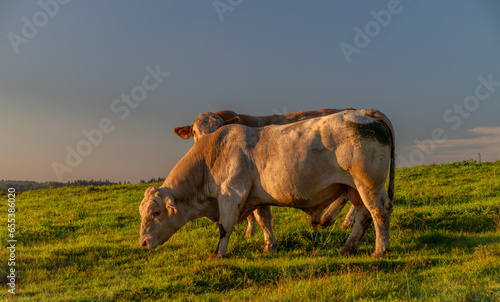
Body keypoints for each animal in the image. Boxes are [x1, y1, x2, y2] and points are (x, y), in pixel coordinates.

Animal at [140, 111, 394, 260]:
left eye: (156, 212)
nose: (142, 242)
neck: (211, 157)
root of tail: (366, 114)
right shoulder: (255, 197)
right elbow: (263, 219)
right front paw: (269, 246)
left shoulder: (231, 195)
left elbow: (225, 227)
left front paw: (217, 254)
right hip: (355, 188)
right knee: (363, 215)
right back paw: (348, 247)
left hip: (368, 183)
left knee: (379, 211)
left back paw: (380, 250)